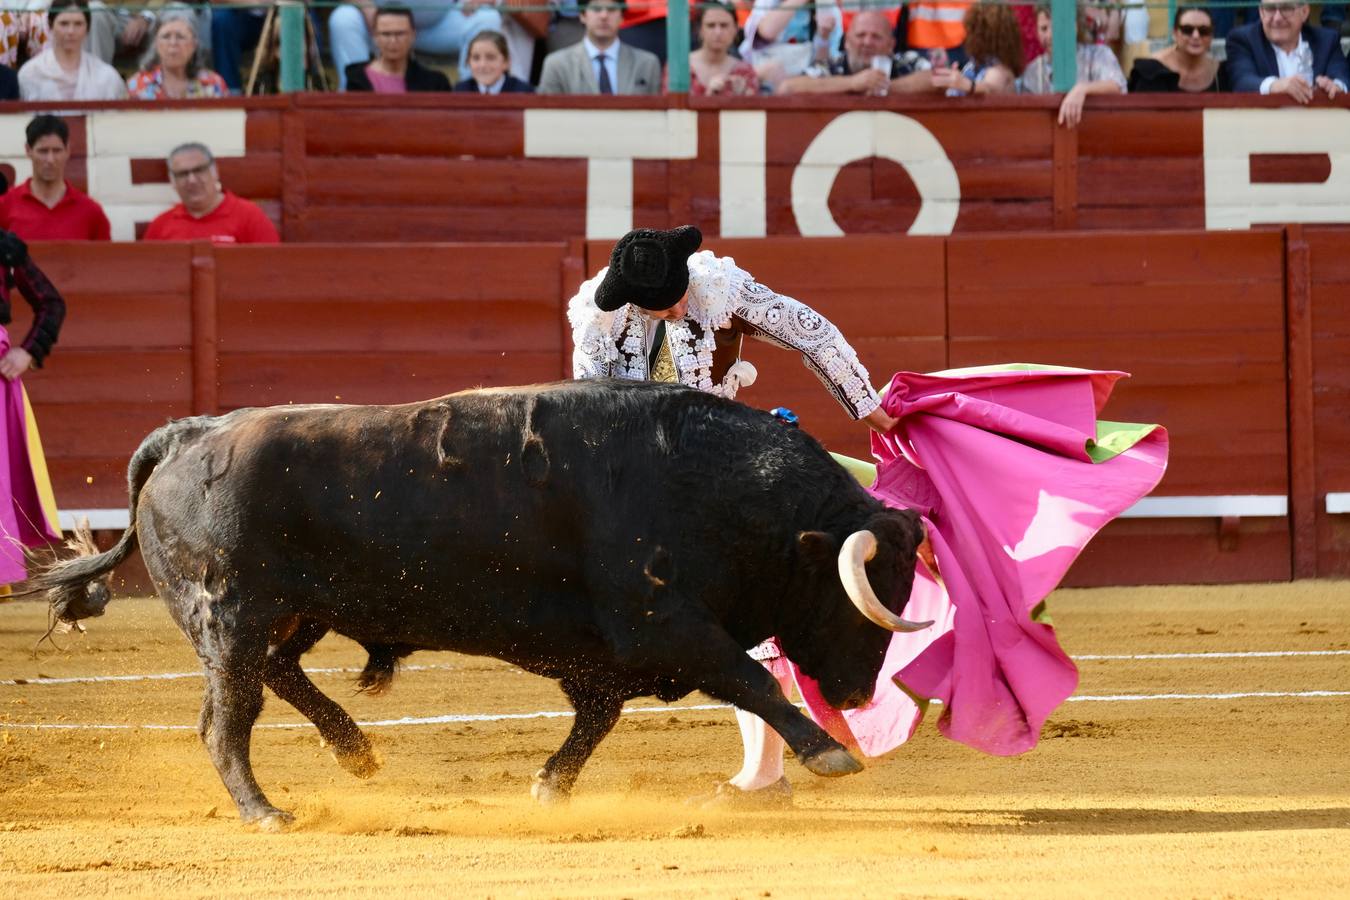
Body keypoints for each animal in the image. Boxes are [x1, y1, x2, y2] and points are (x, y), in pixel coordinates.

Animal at [34, 377, 928, 825]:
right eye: (855, 598)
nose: (858, 695)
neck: (711, 485)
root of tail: (189, 435)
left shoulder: (610, 654)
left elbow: (598, 716)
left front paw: (550, 786)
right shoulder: (663, 624)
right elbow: (751, 678)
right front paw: (830, 753)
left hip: (293, 612)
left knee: (273, 679)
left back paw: (356, 750)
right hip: (232, 615)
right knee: (228, 721)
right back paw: (267, 812)